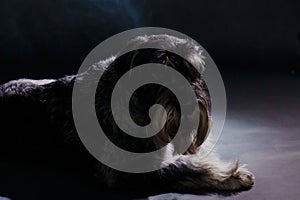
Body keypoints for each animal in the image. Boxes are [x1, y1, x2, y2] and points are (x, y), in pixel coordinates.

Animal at [0, 34, 253, 194]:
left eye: (192, 71)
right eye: (156, 71)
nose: (190, 106)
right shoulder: (126, 171)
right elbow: (181, 167)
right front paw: (231, 174)